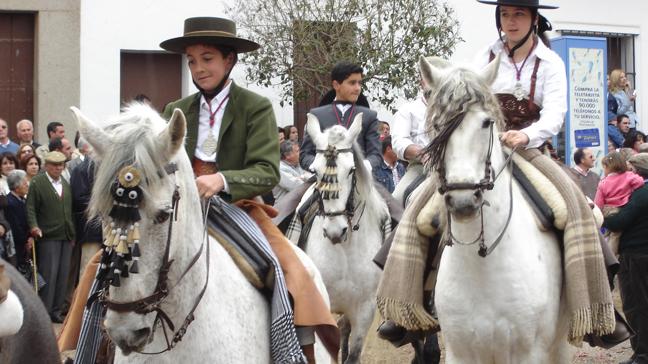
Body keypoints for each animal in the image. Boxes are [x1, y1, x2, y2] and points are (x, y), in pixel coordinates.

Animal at [300, 114, 390, 364]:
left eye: (351, 170)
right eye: (315, 171)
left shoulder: (365, 309)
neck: (345, 250)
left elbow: (353, 354)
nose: (335, 231)